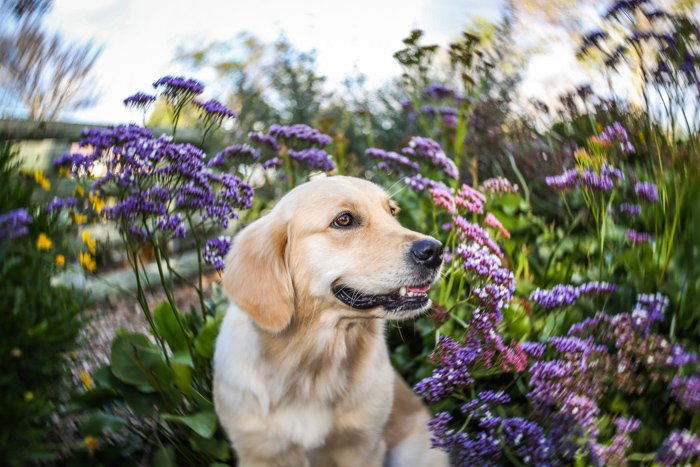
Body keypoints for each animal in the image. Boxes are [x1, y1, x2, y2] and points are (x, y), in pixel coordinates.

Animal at [213, 176, 452, 467]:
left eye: (392, 211)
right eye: (344, 220)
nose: (435, 251)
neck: (312, 363)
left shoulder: (363, 447)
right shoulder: (259, 452)